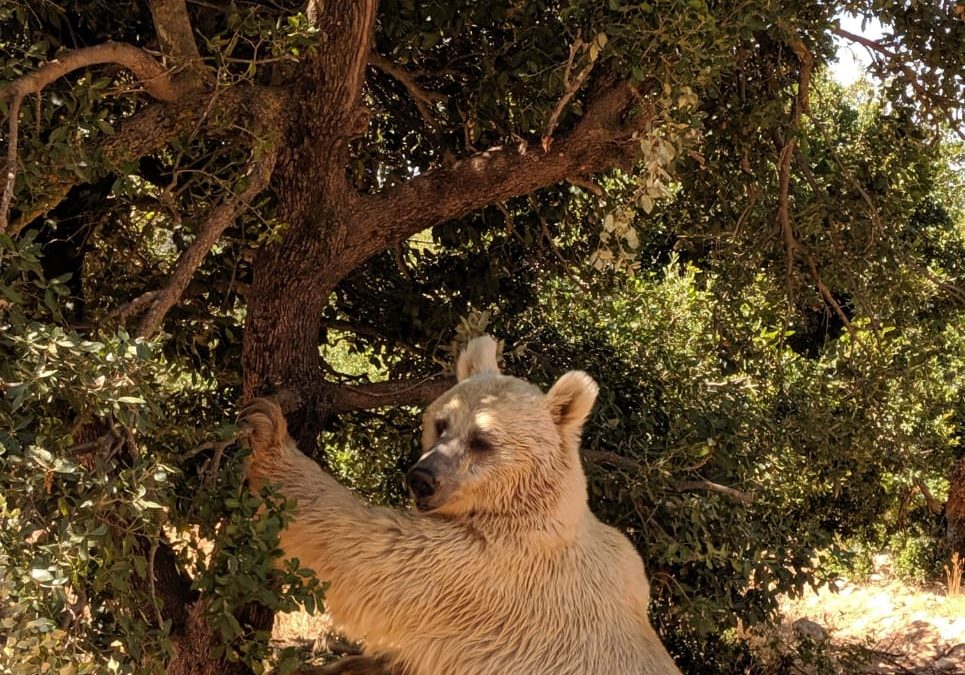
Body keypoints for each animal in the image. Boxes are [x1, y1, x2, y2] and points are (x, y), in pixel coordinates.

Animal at [247, 336, 684, 672]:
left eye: (481, 440)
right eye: (441, 423)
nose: (422, 478)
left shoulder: (491, 571)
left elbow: (374, 555)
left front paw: (267, 431)